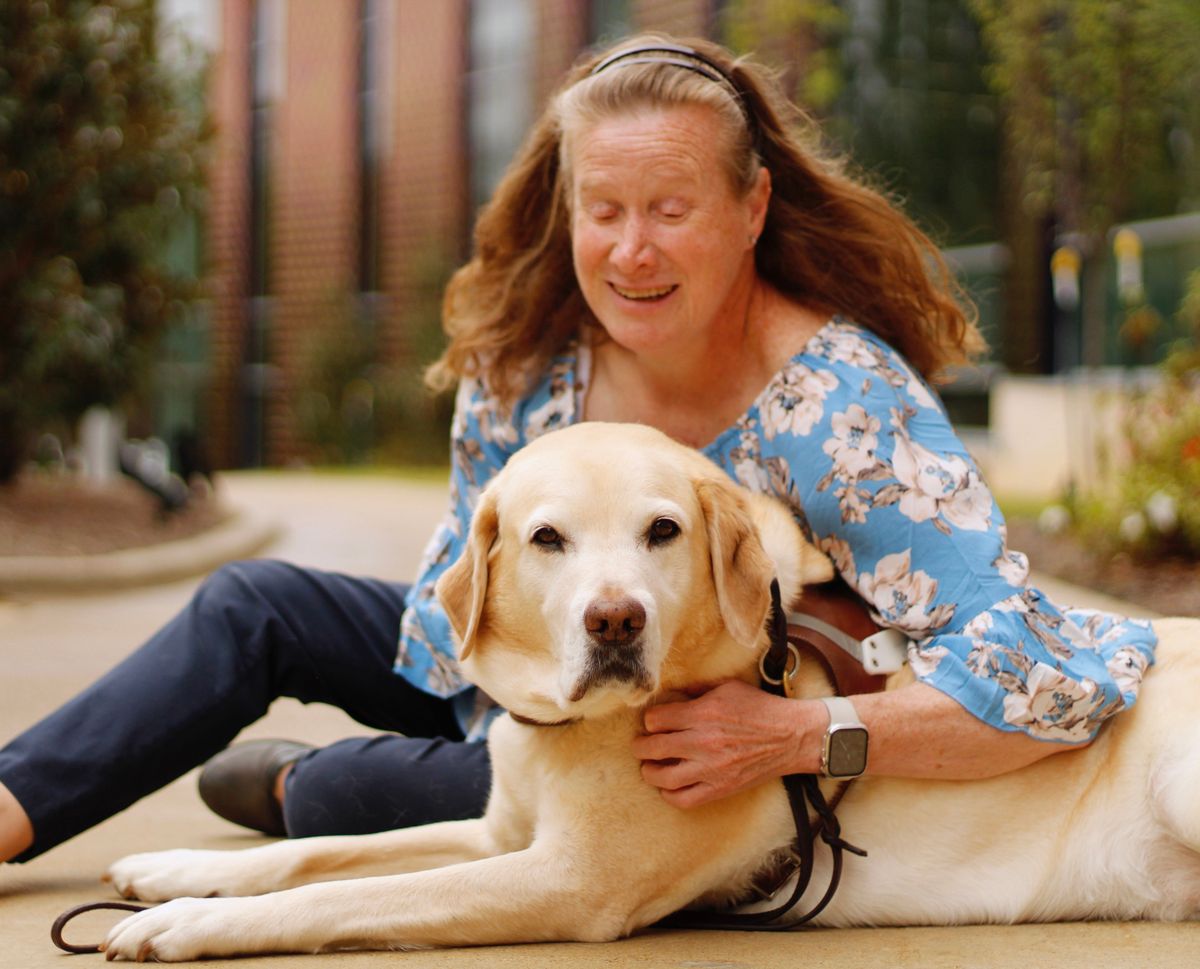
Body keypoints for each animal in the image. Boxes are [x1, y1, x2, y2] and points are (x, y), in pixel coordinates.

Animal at [105, 419, 1200, 959]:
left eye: (662, 530)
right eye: (548, 538)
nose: (614, 621)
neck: (573, 727)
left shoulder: (563, 879)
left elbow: (362, 890)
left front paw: (189, 923)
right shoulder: (502, 834)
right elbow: (325, 852)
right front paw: (177, 872)